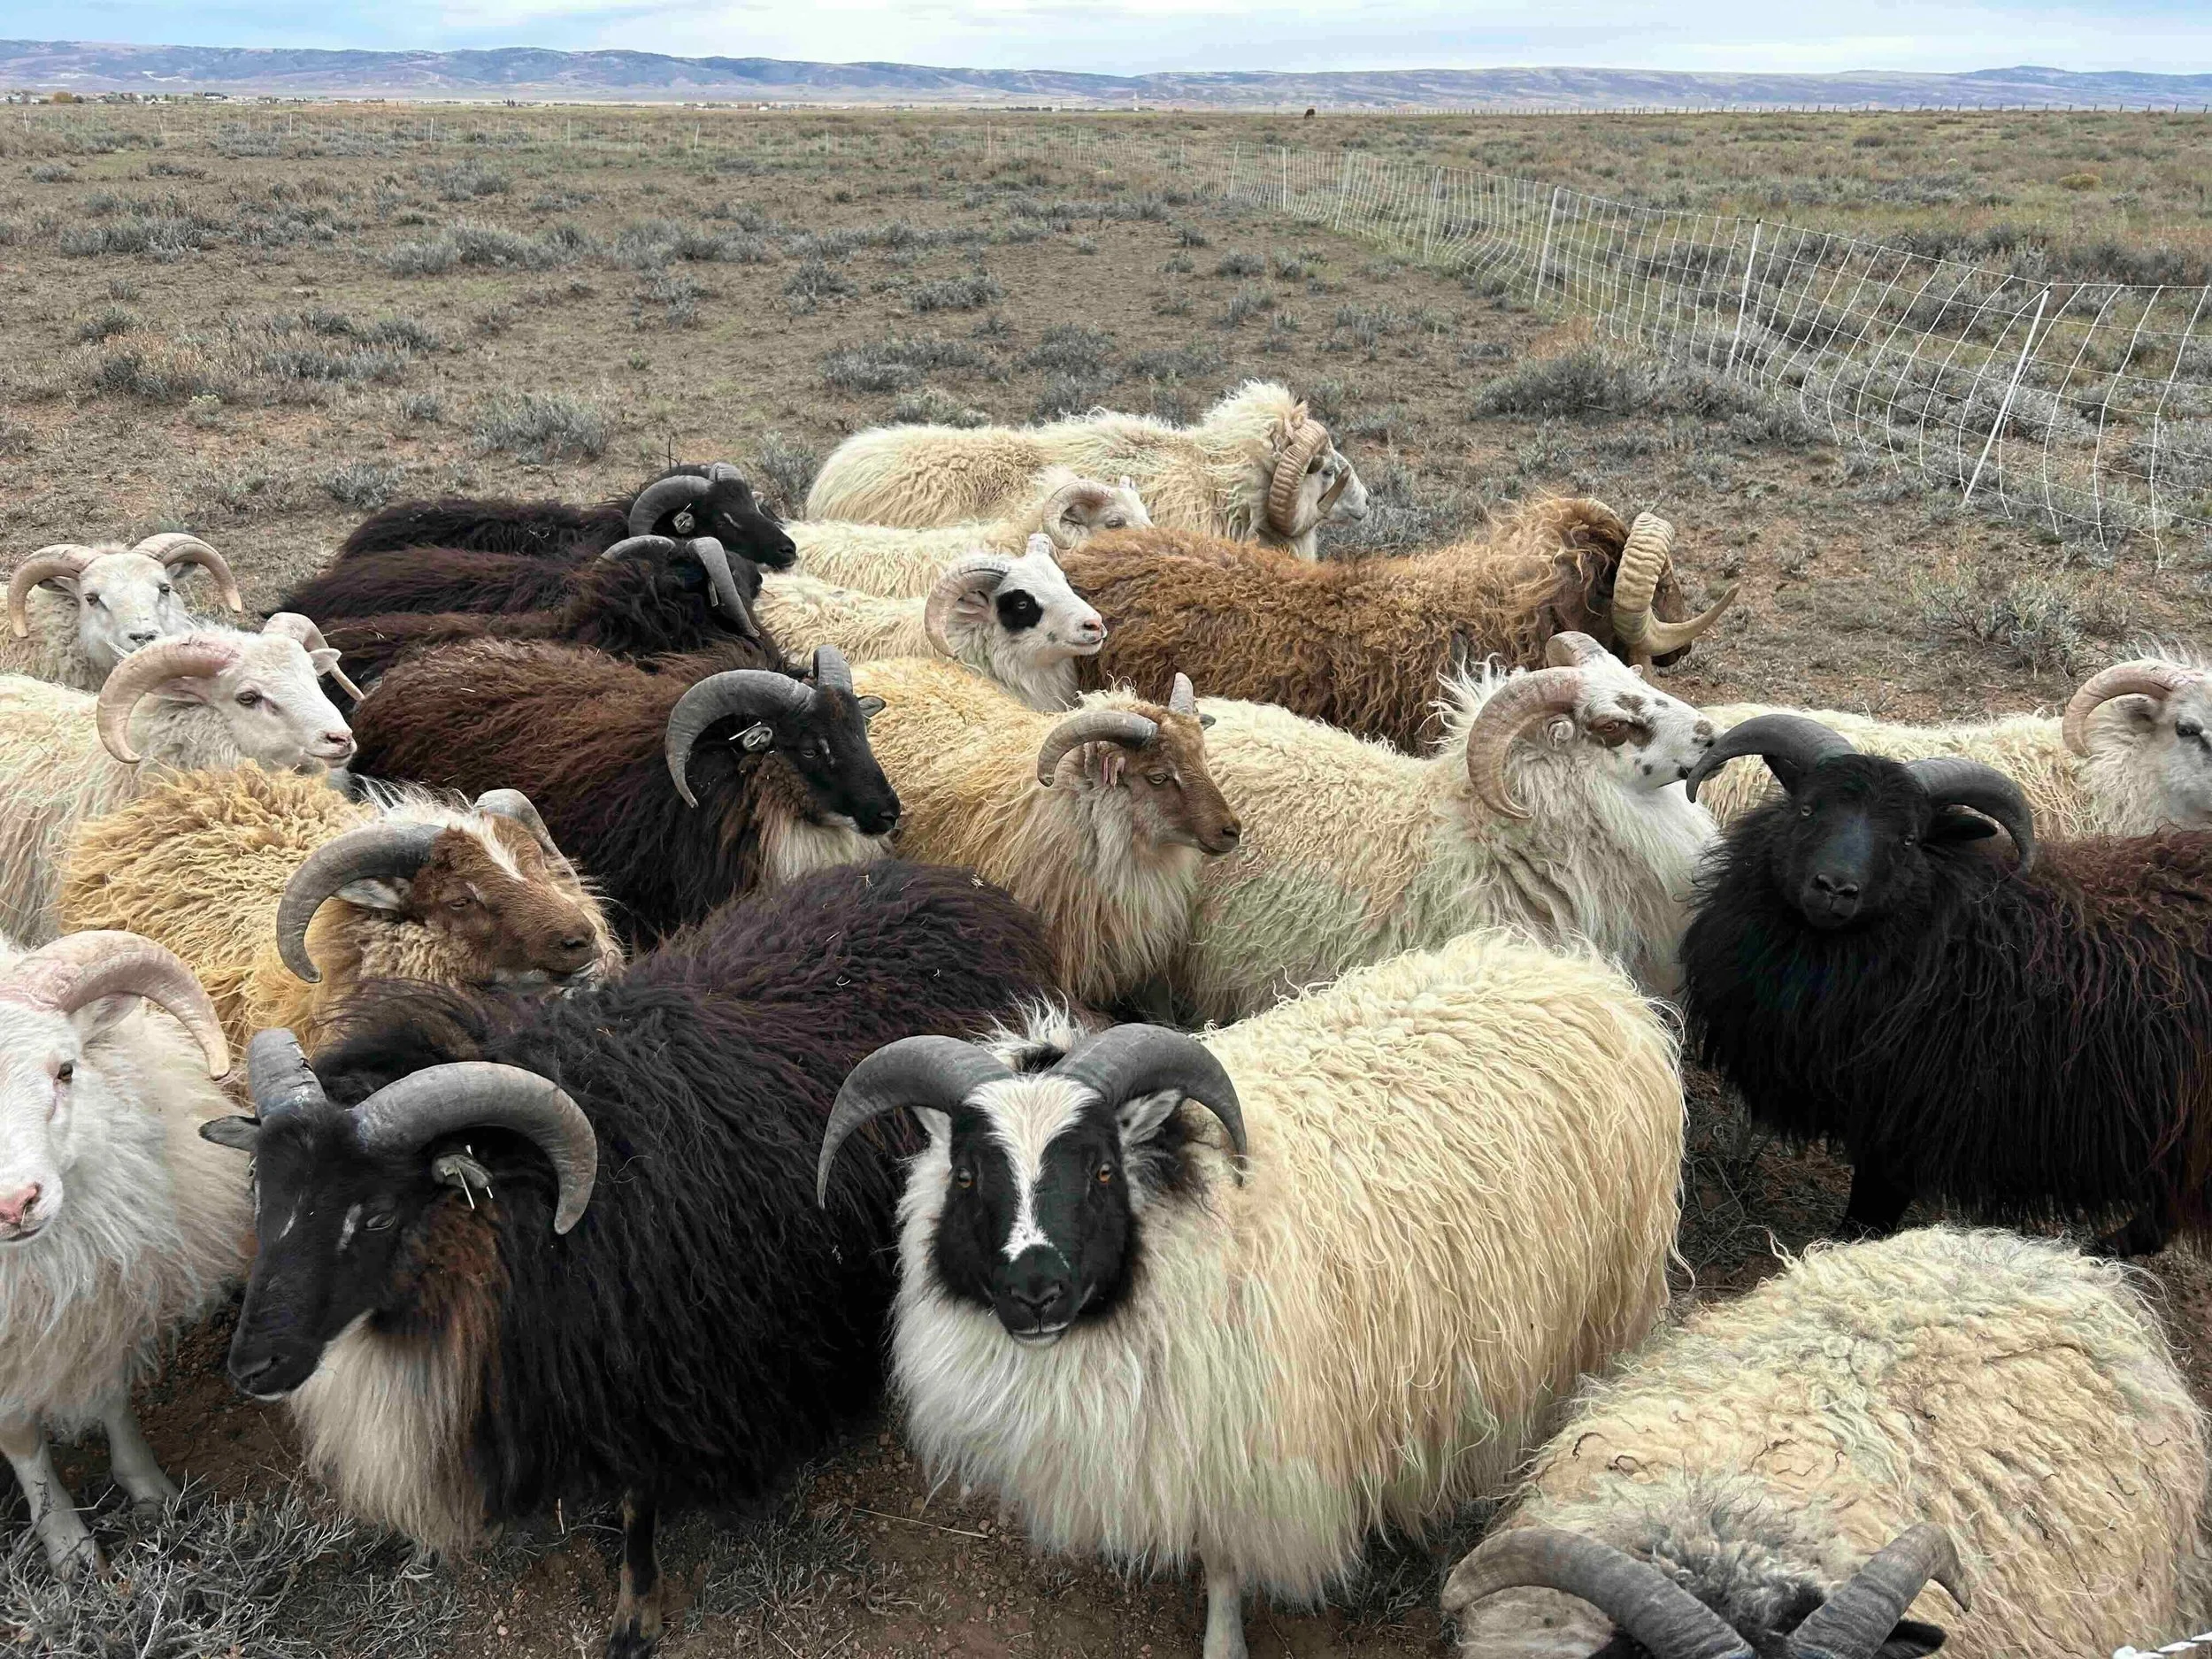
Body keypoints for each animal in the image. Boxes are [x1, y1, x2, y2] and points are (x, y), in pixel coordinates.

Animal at [0, 929, 247, 1574]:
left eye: (66, 1069)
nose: (14, 1203)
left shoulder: (107, 1299)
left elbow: (111, 1394)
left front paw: (151, 1492)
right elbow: (20, 1438)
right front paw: (70, 1550)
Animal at [200, 859, 1061, 1658]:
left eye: (377, 1211)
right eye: (263, 1191)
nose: (253, 1366)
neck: (532, 1213)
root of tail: (960, 885)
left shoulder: (654, 1362)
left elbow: (636, 1500)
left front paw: (635, 1614)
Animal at [817, 926, 1685, 1659]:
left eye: (1101, 1170)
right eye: (968, 1175)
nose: (1036, 1288)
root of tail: (1579, 971)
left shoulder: (1242, 1441)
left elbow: (1226, 1562)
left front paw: (1223, 1642)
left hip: (1608, 1298)